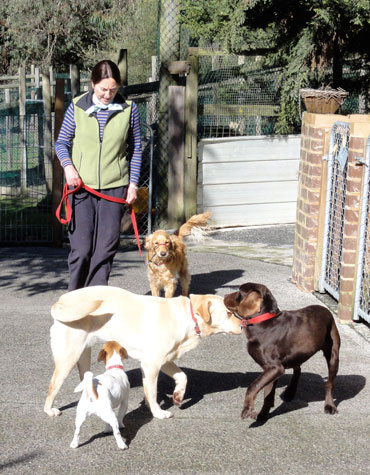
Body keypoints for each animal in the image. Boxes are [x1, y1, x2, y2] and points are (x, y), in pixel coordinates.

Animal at [44, 284, 243, 418]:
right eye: (228, 313)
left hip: (83, 355)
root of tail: (60, 300)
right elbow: (153, 392)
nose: (243, 325)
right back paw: (49, 409)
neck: (188, 316)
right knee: (52, 385)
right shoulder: (151, 364)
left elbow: (182, 376)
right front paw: (158, 412)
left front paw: (178, 395)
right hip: (69, 357)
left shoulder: (165, 361)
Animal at [223, 282, 342, 420]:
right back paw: (290, 392)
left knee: (329, 384)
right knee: (298, 369)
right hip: (296, 355)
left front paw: (247, 409)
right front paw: (262, 415)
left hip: (333, 355)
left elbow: (254, 386)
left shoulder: (275, 367)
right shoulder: (271, 369)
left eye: (239, 292)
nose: (224, 295)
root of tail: (326, 310)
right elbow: (268, 395)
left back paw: (329, 406)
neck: (263, 321)